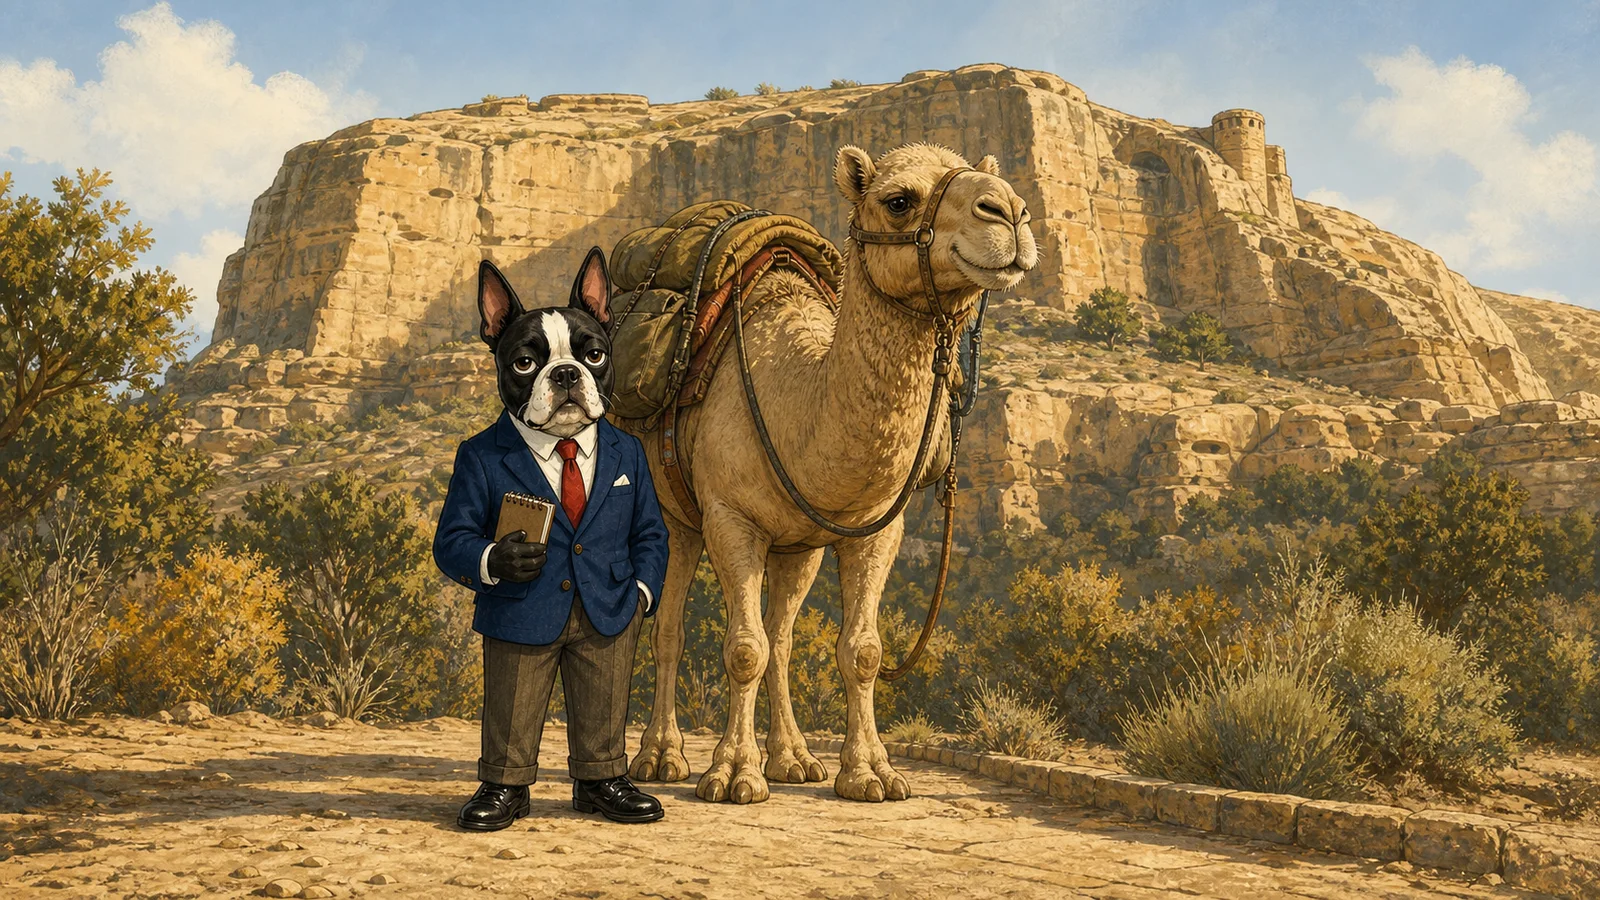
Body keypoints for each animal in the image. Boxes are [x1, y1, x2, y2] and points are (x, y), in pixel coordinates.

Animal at [620, 143, 1037, 803]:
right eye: (898, 200)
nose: (1012, 214)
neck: (797, 396)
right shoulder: (731, 519)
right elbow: (743, 648)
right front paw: (733, 776)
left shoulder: (872, 527)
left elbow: (860, 650)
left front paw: (871, 775)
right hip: (674, 516)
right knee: (669, 629)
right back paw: (661, 759)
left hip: (799, 548)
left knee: (783, 637)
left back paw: (793, 759)